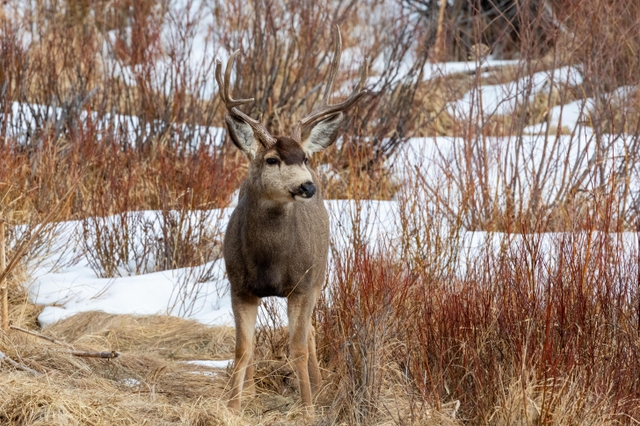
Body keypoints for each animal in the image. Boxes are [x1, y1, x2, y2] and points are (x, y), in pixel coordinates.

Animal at [216, 27, 367, 415]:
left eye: (305, 157)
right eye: (271, 159)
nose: (307, 185)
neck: (269, 259)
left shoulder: (302, 284)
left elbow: (297, 348)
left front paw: (309, 407)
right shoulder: (239, 286)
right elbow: (243, 349)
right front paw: (234, 406)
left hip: (320, 273)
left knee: (310, 331)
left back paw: (318, 386)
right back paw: (254, 390)